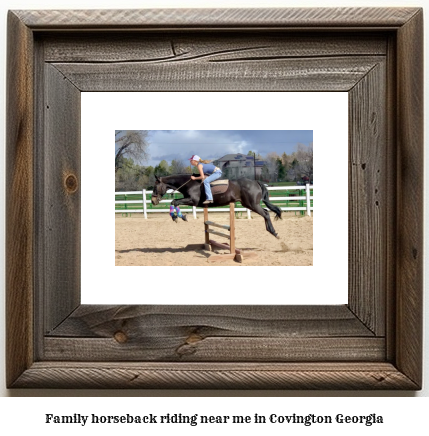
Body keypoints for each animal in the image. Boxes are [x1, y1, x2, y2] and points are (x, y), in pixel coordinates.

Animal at [150, 174, 280, 238]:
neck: (190, 184)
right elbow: (174, 202)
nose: (153, 201)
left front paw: (178, 217)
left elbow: (174, 202)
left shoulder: (193, 201)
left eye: (155, 187)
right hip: (250, 204)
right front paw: (179, 217)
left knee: (266, 214)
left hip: (252, 204)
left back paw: (274, 232)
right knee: (266, 212)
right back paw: (270, 231)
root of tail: (256, 182)